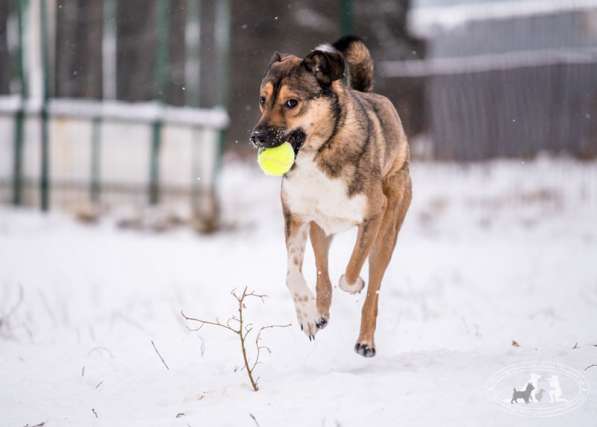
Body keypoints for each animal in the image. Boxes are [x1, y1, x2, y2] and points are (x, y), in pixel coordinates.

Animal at [249, 36, 412, 358]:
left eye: (291, 102)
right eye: (263, 99)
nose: (256, 137)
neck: (321, 150)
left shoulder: (373, 215)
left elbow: (351, 270)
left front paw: (354, 283)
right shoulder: (296, 216)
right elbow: (293, 275)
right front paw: (307, 316)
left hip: (388, 230)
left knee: (373, 289)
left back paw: (365, 341)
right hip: (320, 230)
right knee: (322, 273)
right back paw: (320, 313)